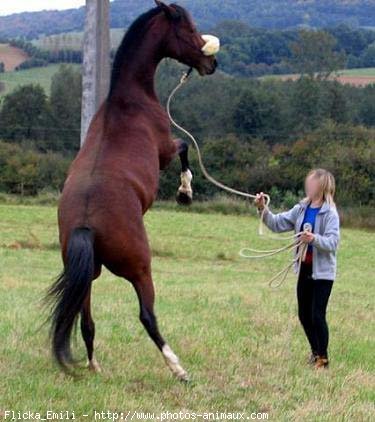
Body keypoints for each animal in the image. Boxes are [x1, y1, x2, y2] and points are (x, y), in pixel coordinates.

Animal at [46, 0, 219, 382]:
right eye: (187, 28)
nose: (211, 64)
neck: (128, 100)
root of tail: (85, 225)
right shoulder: (164, 150)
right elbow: (184, 147)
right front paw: (185, 193)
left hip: (87, 274)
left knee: (87, 321)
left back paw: (94, 366)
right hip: (140, 268)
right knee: (147, 315)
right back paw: (178, 368)